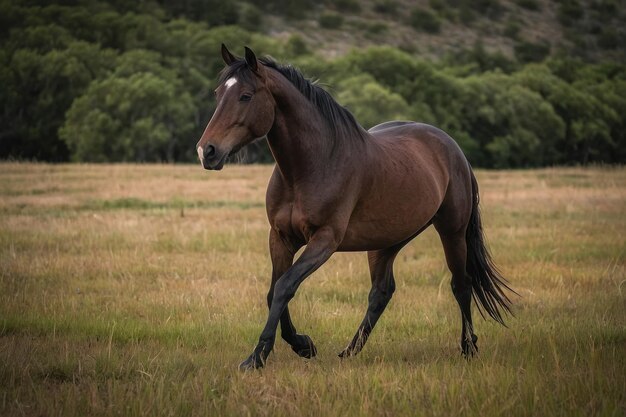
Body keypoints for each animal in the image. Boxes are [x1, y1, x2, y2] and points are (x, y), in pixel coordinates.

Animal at [195, 44, 512, 370]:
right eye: (218, 93)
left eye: (246, 95)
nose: (207, 151)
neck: (312, 165)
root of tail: (453, 149)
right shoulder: (281, 238)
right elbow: (274, 292)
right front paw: (302, 345)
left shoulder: (324, 240)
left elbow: (285, 287)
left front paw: (258, 356)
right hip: (387, 241)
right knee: (381, 292)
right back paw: (350, 351)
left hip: (452, 232)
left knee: (461, 284)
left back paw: (468, 347)